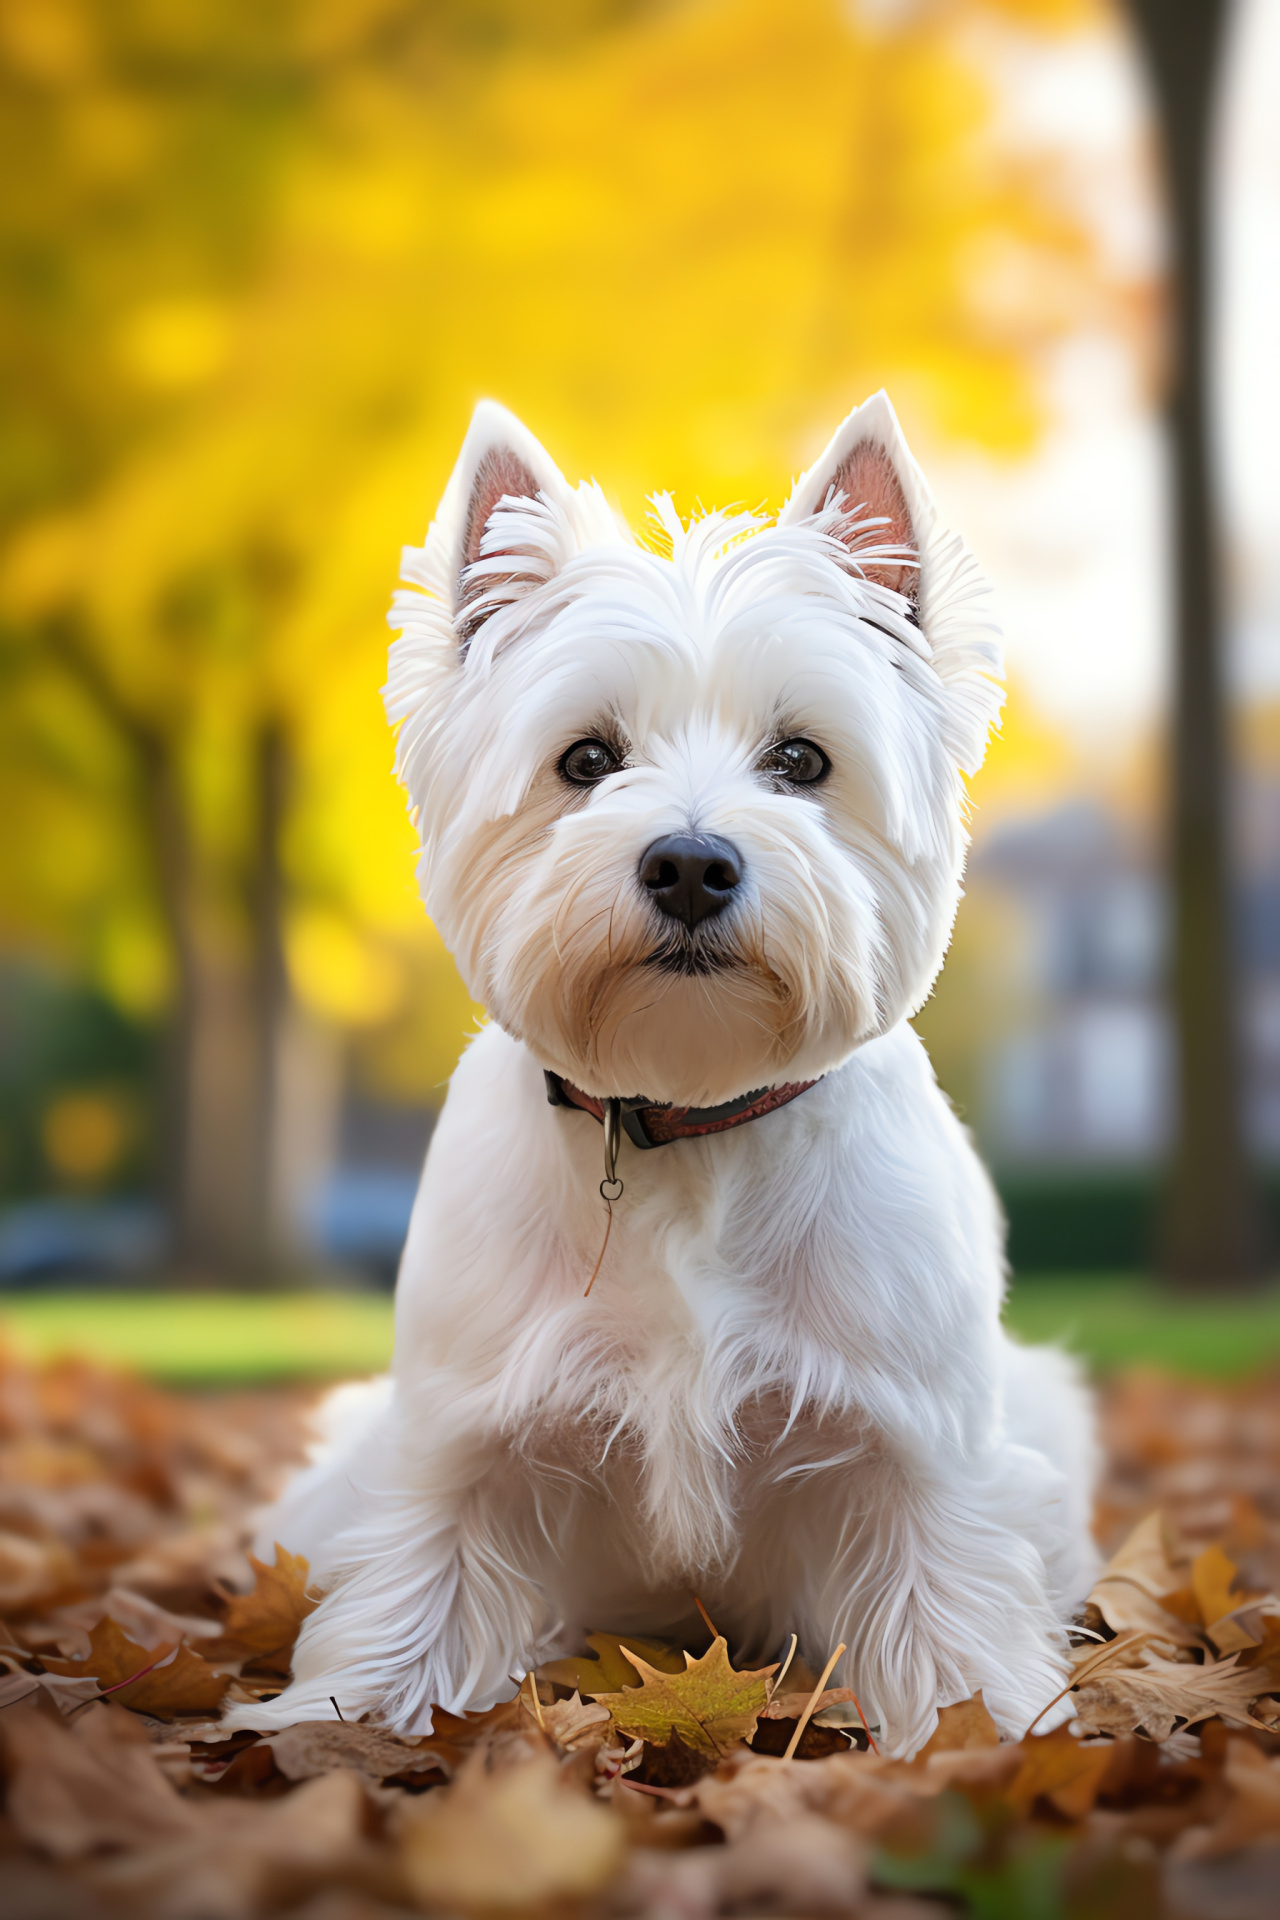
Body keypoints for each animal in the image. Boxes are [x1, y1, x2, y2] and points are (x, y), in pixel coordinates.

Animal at [233, 389, 1105, 1758]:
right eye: (586, 760)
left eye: (801, 762)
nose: (691, 865)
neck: (689, 1116)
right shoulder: (460, 1435)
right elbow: (416, 1590)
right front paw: (343, 1722)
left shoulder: (914, 1443)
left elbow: (947, 1612)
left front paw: (994, 1739)